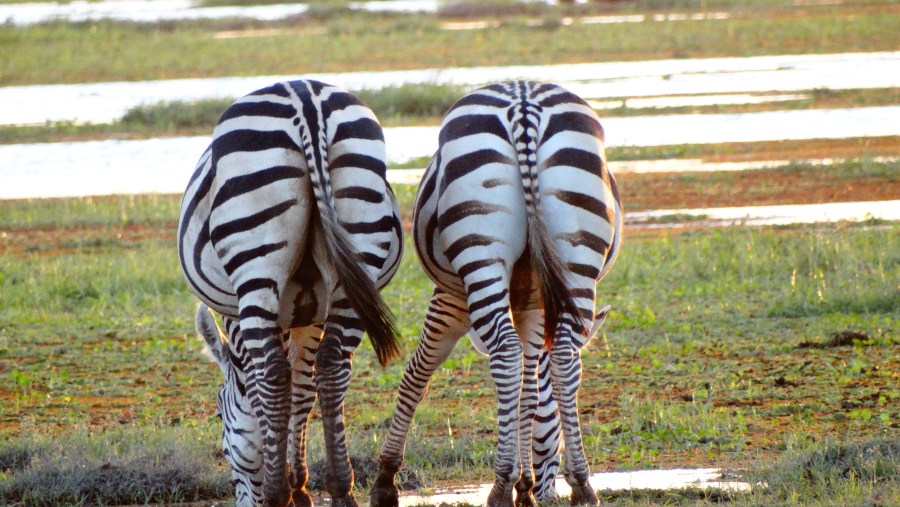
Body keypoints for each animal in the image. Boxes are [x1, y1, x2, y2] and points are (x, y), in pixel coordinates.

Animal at [178, 80, 402, 507]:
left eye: (218, 415)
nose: (242, 500)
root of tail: (305, 96)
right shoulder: (310, 311)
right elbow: (303, 389)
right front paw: (300, 483)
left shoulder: (261, 313)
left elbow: (270, 391)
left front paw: (285, 480)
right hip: (357, 253)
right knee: (332, 365)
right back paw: (341, 487)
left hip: (256, 263)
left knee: (274, 373)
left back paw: (277, 493)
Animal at [370, 81, 624, 506]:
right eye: (554, 427)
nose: (547, 492)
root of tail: (524, 102)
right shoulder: (535, 303)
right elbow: (529, 391)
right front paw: (527, 485)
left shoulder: (450, 300)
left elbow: (417, 373)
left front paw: (386, 478)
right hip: (576, 255)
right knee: (564, 357)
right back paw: (582, 486)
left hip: (480, 254)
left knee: (505, 354)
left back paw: (502, 486)